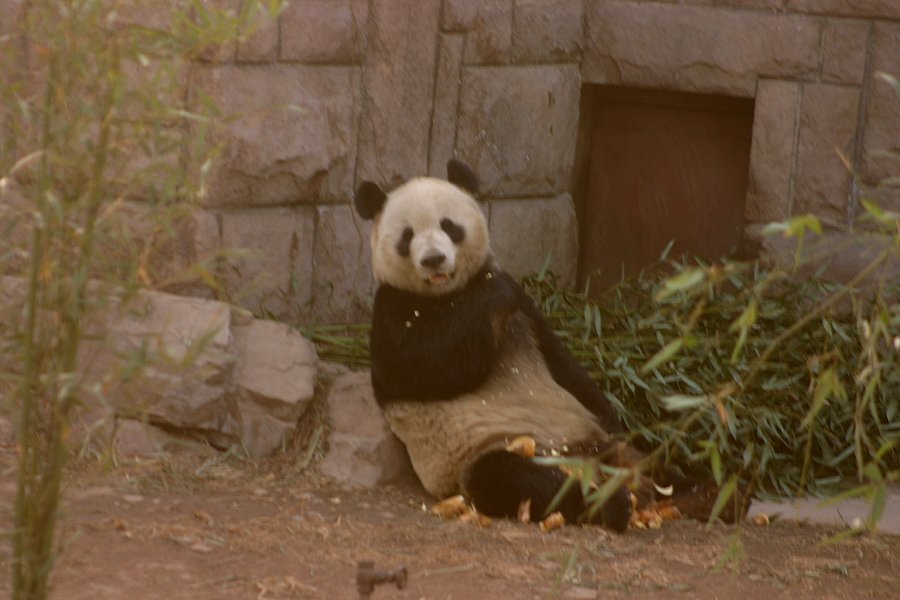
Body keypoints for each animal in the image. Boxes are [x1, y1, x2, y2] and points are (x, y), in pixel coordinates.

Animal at [354, 158, 740, 528]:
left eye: (449, 226)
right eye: (407, 236)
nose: (433, 259)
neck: (449, 294)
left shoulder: (526, 318)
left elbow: (565, 366)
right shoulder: (393, 311)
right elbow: (424, 366)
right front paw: (496, 289)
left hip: (607, 444)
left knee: (652, 461)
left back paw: (710, 494)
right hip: (497, 449)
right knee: (511, 478)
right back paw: (610, 504)